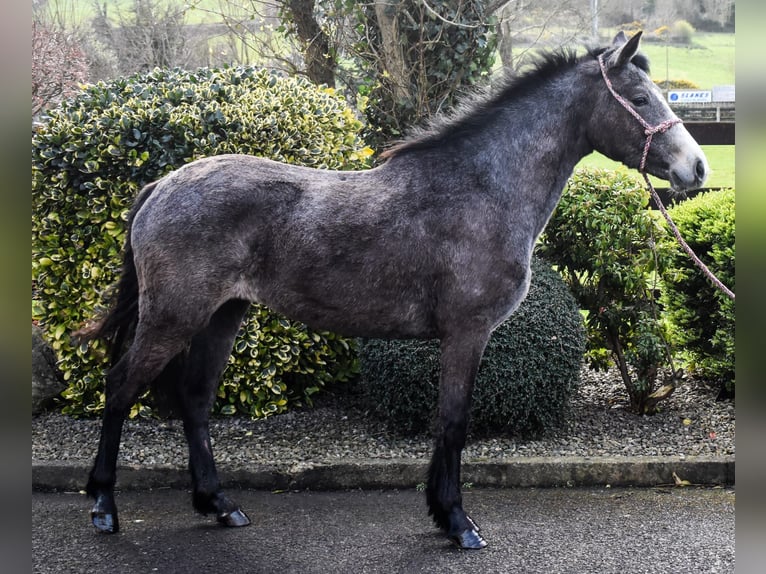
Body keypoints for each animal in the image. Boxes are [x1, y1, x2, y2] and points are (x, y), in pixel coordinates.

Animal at [79, 32, 708, 552]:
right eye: (641, 98)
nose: (696, 168)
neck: (482, 188)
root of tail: (161, 185)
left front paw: (445, 515)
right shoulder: (466, 333)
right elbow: (453, 421)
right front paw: (457, 523)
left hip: (221, 316)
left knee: (195, 398)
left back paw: (219, 505)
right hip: (173, 317)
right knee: (119, 387)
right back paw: (104, 507)